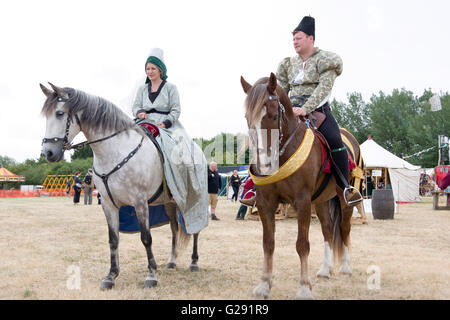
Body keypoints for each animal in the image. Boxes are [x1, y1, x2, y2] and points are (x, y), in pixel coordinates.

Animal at [239, 74, 362, 298]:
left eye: (273, 116)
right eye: (247, 117)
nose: (264, 165)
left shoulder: (302, 202)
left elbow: (302, 245)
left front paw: (304, 288)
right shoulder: (265, 204)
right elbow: (268, 243)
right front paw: (264, 284)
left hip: (344, 199)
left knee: (344, 228)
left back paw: (345, 268)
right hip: (322, 201)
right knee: (328, 229)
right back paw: (325, 269)